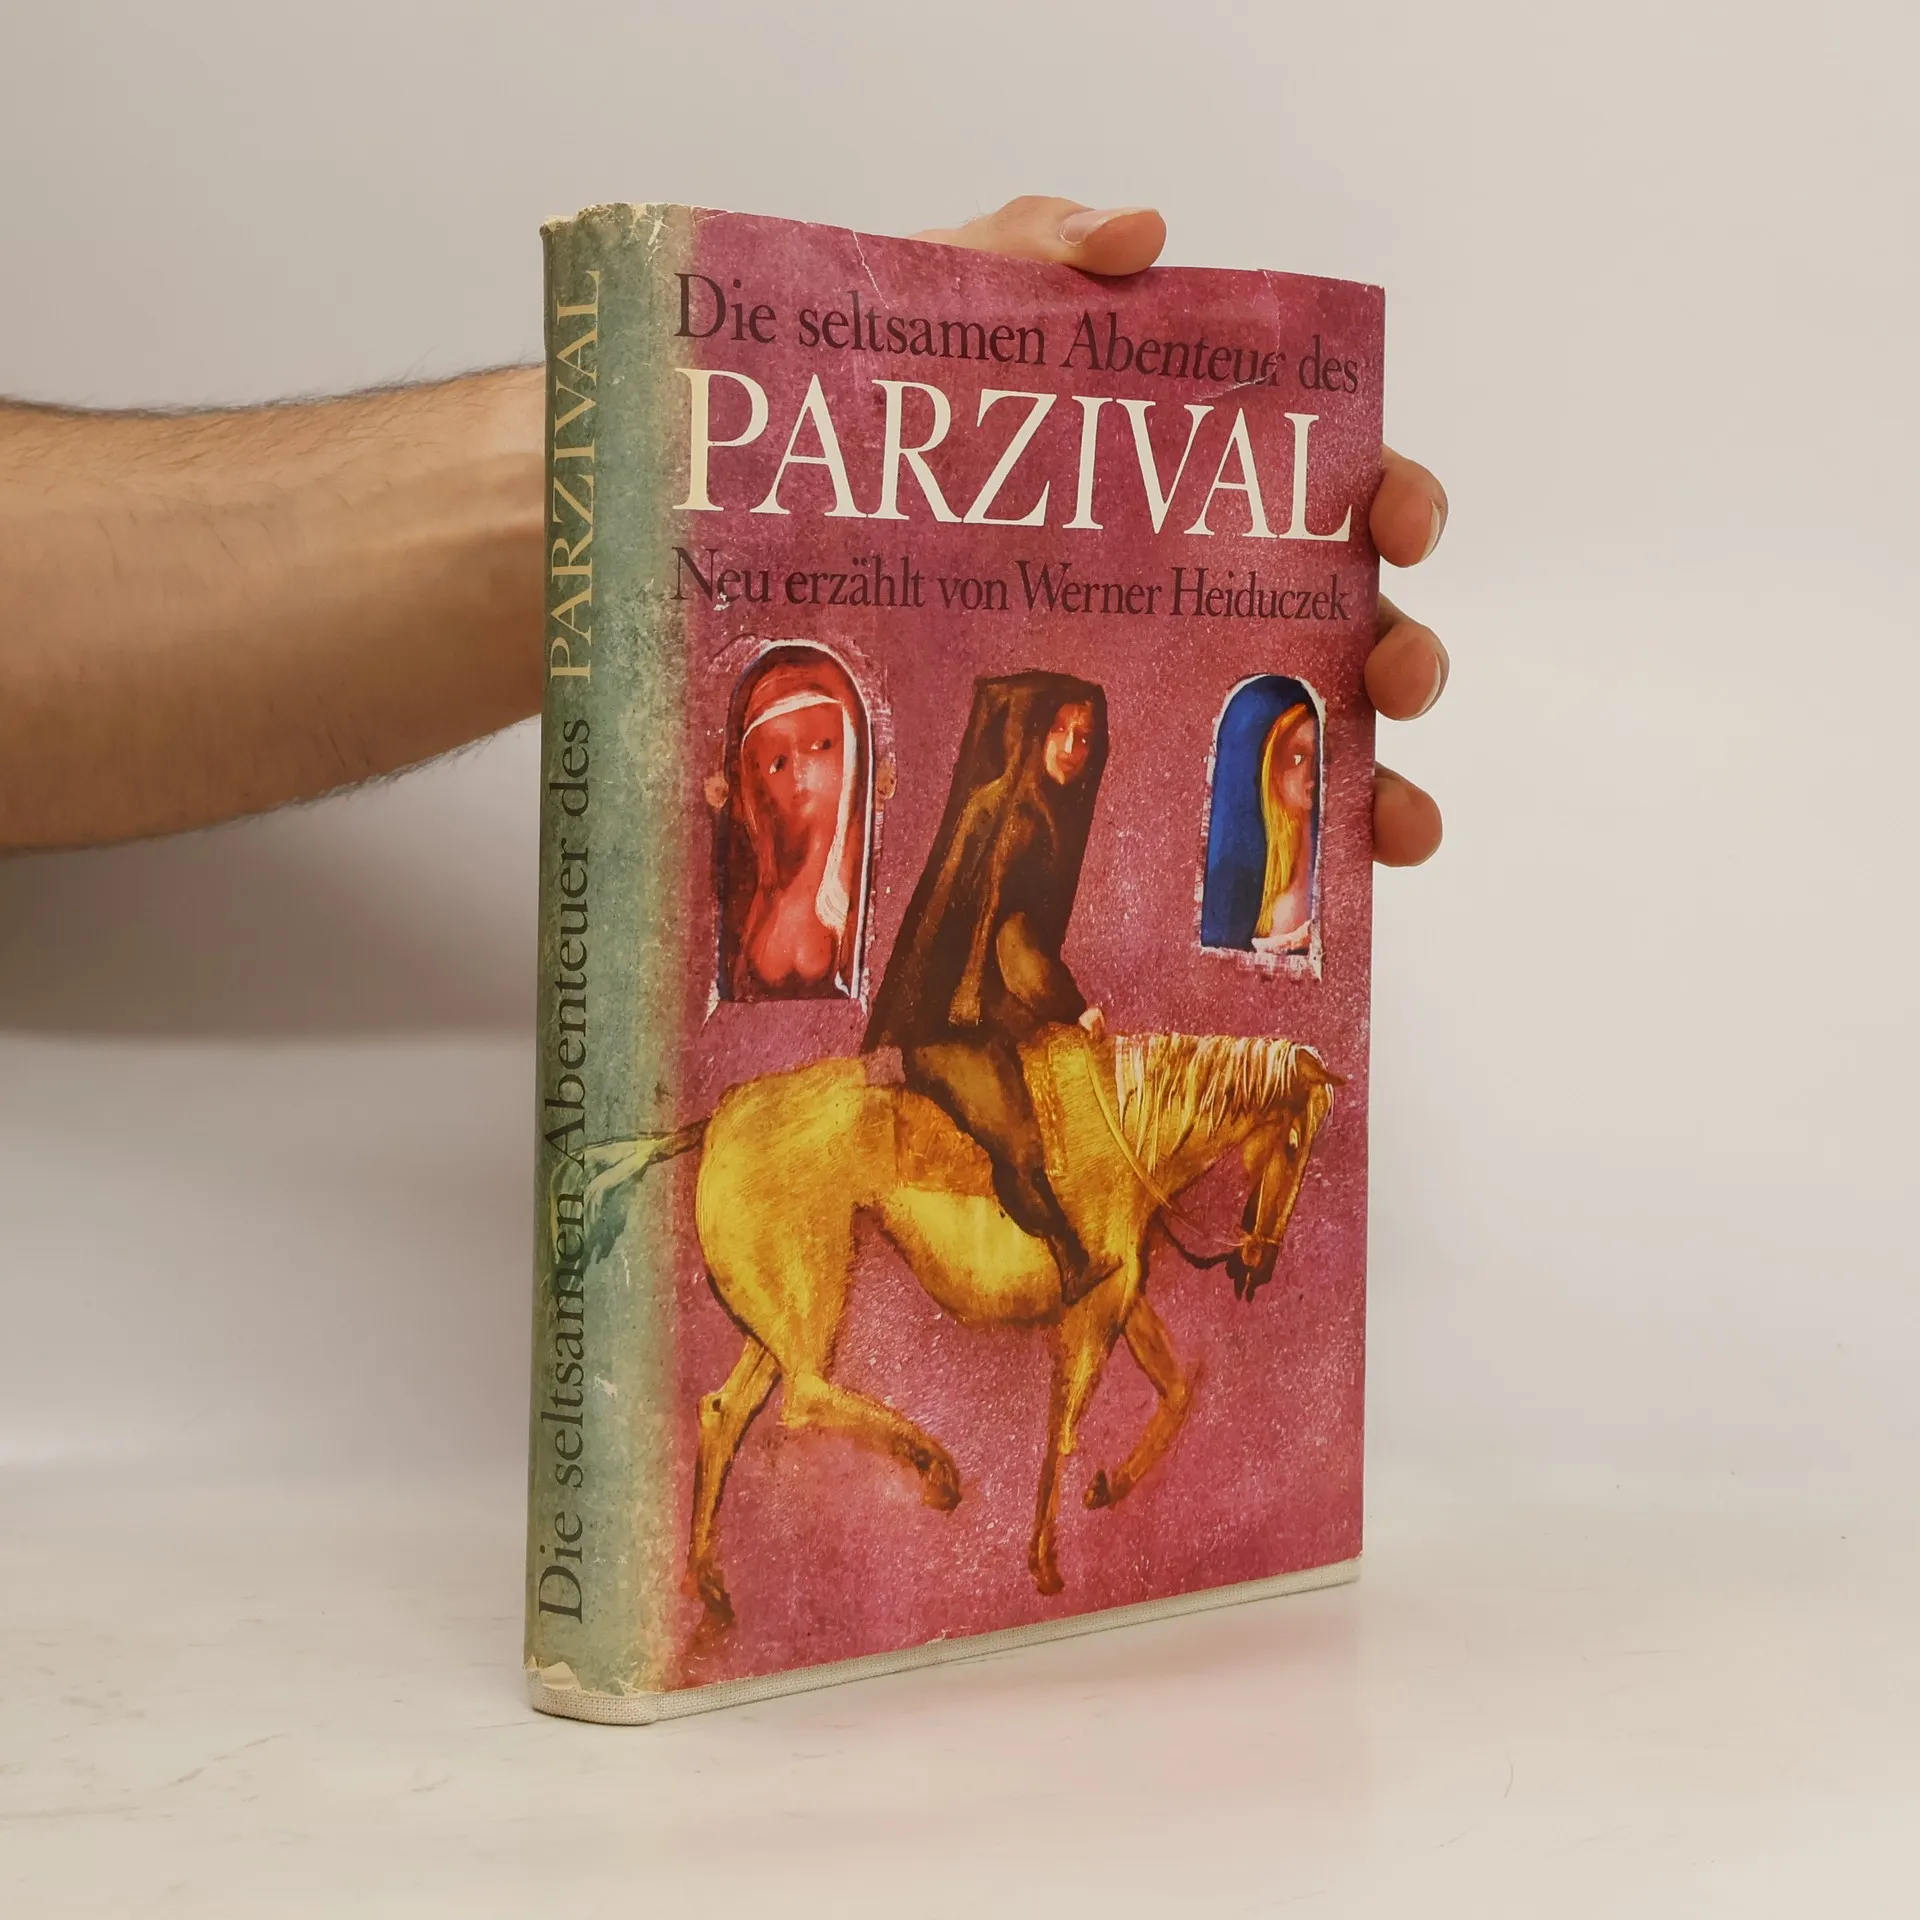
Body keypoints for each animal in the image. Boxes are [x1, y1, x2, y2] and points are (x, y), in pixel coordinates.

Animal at [579, 1026, 1342, 1624]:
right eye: (1293, 1141)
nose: (1261, 1264)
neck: (1130, 1132)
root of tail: (716, 1117)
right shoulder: (1090, 1317)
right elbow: (1066, 1426)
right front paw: (1043, 1562)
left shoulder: (1122, 1303)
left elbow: (1176, 1391)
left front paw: (1109, 1489)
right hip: (813, 1286)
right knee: (802, 1397)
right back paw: (936, 1468)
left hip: (778, 1313)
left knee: (725, 1411)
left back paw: (708, 1585)